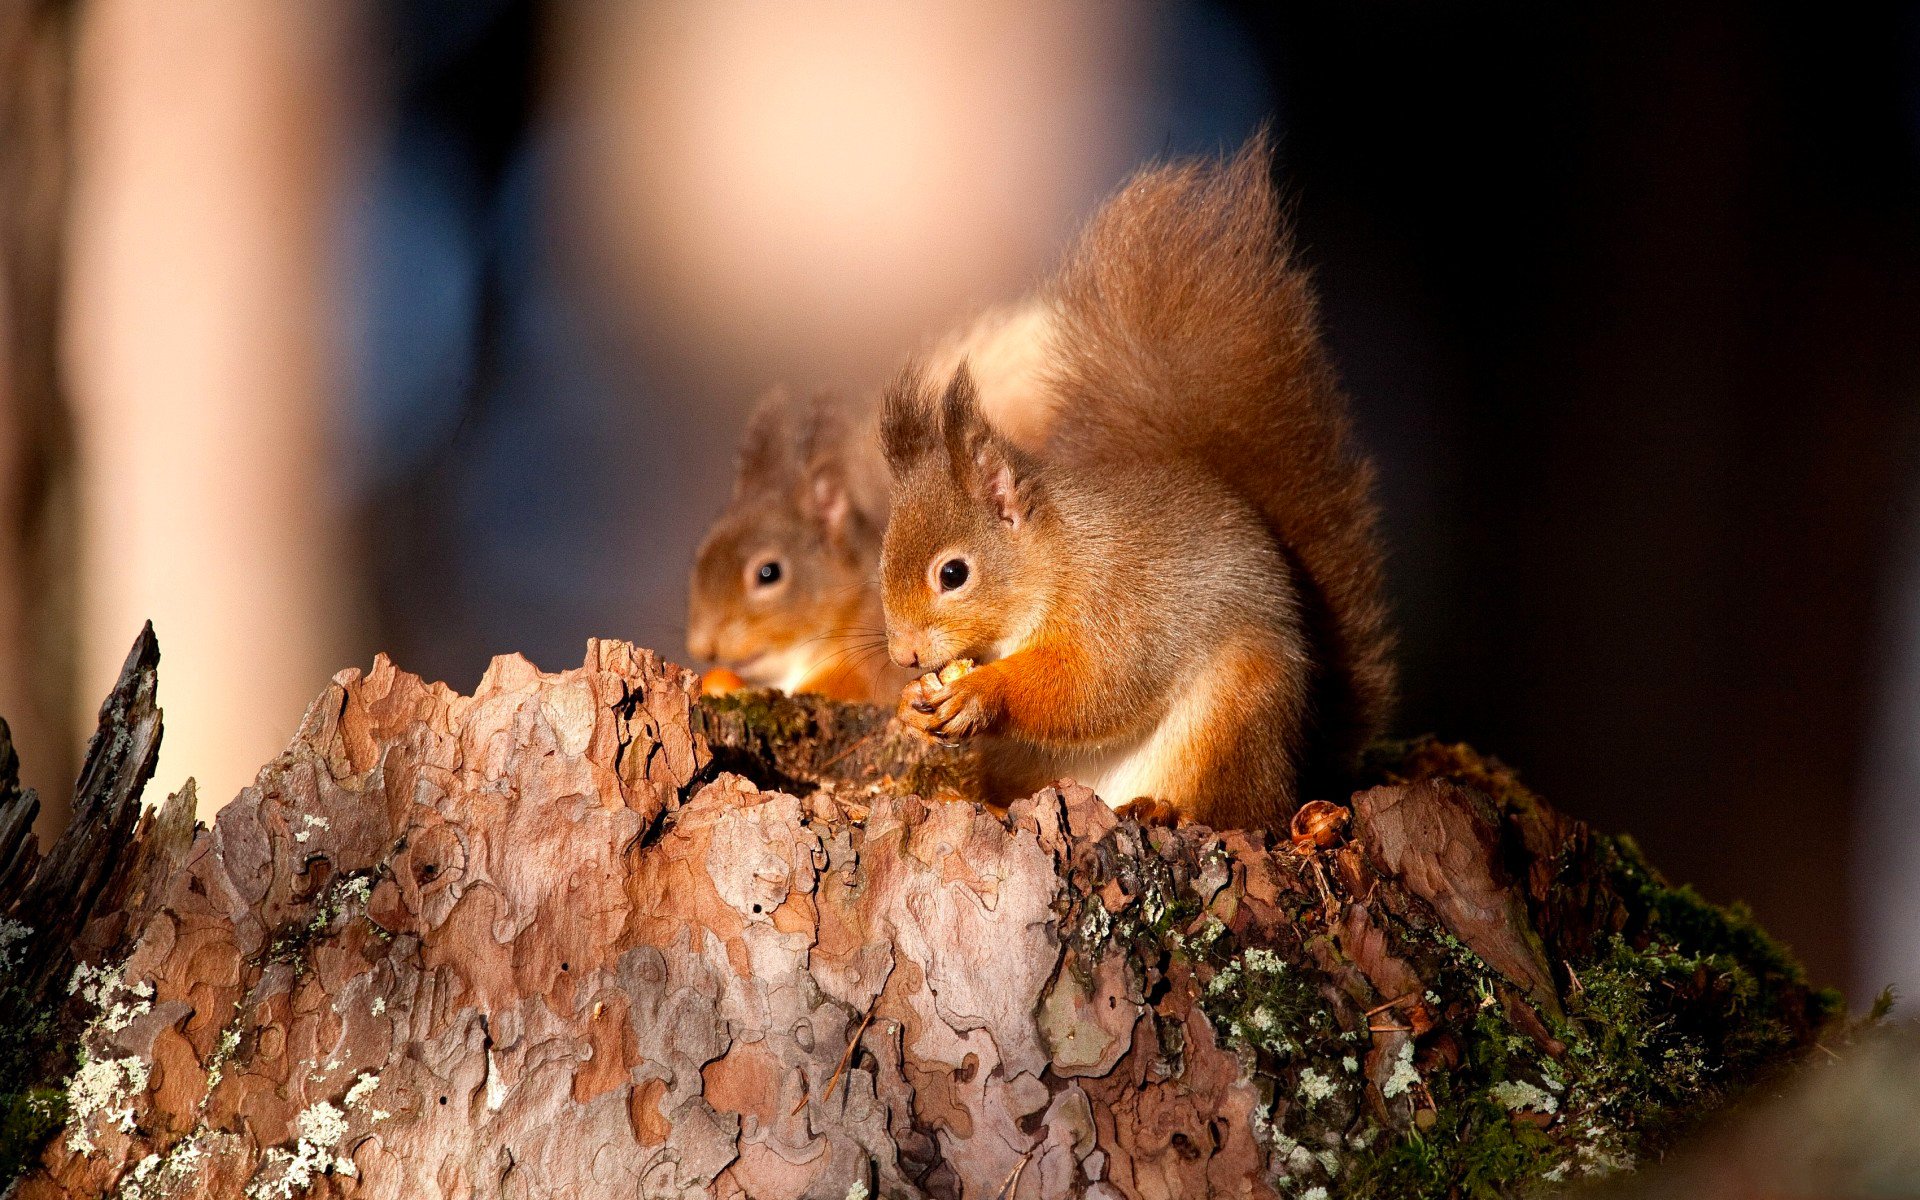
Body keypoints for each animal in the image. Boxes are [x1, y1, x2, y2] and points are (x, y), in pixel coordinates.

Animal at [878, 136, 1394, 830]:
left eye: (953, 574)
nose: (904, 656)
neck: (1061, 554)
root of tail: (1296, 769)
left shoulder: (1122, 605)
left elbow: (1095, 685)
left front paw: (983, 692)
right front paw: (911, 705)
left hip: (1236, 713)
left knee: (1235, 811)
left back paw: (1164, 809)